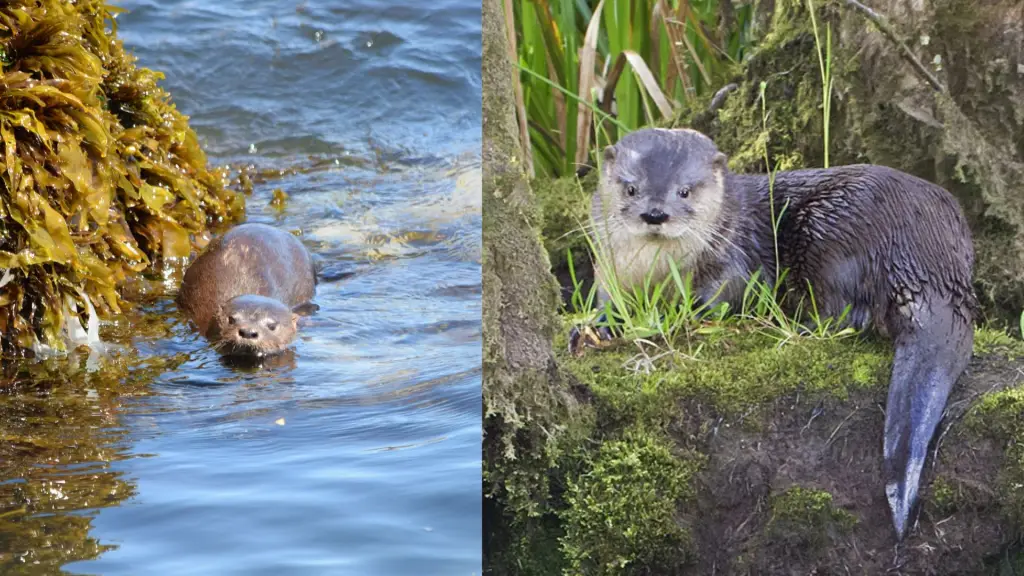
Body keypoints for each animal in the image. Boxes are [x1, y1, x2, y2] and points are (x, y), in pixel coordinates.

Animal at [573, 127, 978, 541]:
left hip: (831, 229)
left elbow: (720, 298)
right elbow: (607, 303)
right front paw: (594, 329)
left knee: (843, 313)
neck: (655, 273)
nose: (655, 214)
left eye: (684, 191)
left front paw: (672, 321)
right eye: (631, 188)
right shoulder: (608, 270)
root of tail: (929, 259)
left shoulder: (735, 259)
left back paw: (788, 326)